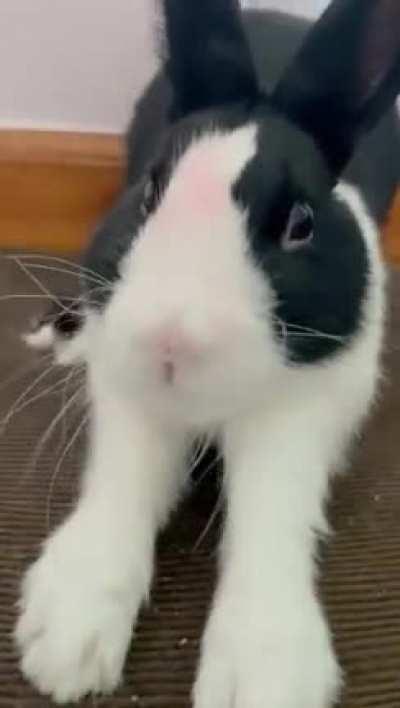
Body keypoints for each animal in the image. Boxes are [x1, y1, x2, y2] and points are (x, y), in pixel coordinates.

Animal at [15, 1, 400, 706]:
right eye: (149, 195)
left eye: (300, 224)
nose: (171, 341)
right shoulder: (132, 399)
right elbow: (124, 484)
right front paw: (67, 637)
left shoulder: (300, 418)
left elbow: (271, 514)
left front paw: (262, 675)